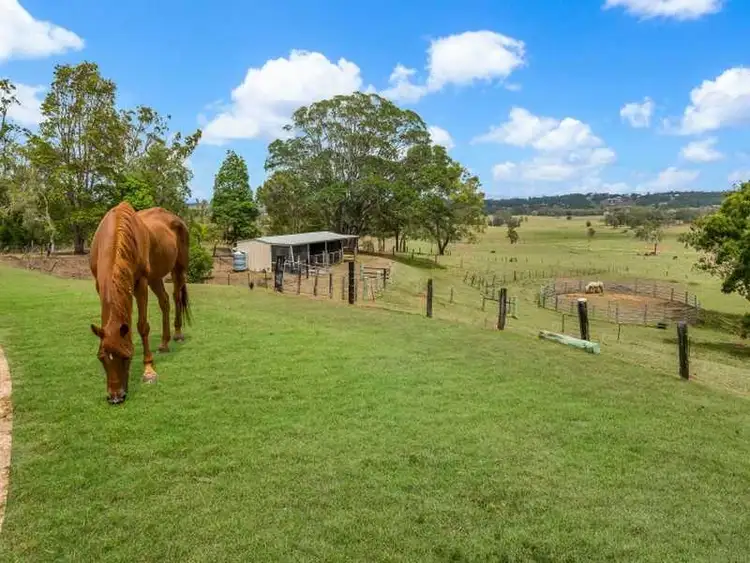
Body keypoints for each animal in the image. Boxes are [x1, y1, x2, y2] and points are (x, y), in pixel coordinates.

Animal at [89, 202, 191, 404]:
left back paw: (177, 334)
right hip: (155, 277)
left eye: (126, 357)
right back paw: (164, 343)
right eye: (101, 358)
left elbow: (143, 326)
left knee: (176, 297)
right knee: (164, 302)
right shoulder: (99, 285)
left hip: (178, 269)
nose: (115, 398)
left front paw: (149, 371)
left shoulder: (141, 282)